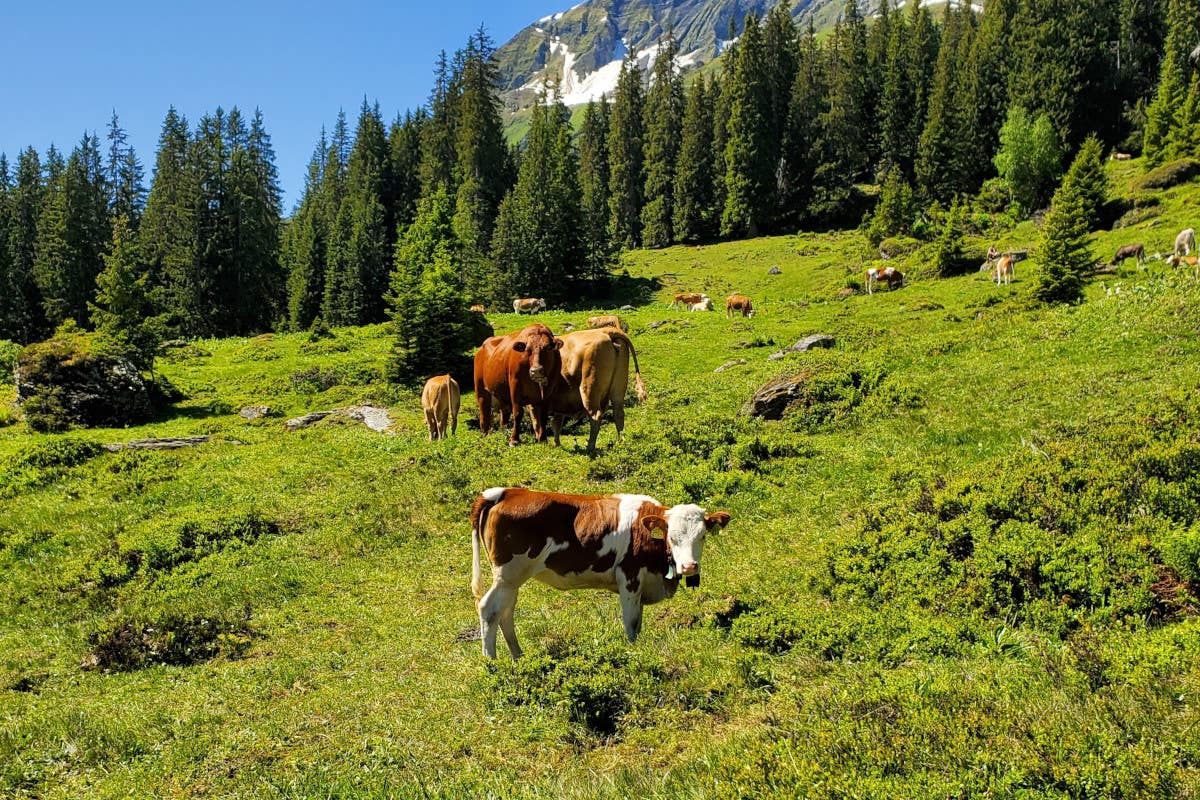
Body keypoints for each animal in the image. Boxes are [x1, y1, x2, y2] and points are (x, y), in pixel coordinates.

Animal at [468, 484, 729, 662]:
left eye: (702, 536)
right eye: (672, 537)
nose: (689, 566)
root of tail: (505, 492)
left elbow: (638, 622)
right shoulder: (630, 577)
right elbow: (631, 623)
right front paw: (633, 651)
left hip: (512, 579)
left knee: (505, 612)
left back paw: (518, 656)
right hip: (508, 575)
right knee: (489, 609)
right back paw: (491, 663)